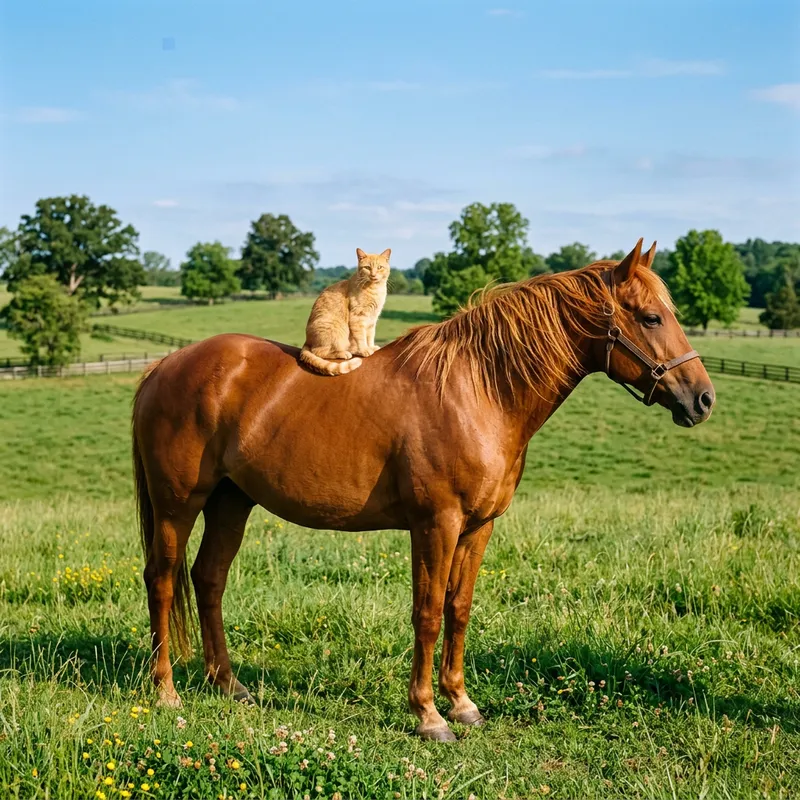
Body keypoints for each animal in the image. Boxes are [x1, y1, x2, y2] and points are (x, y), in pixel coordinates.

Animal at [132, 239, 715, 741]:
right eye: (651, 317)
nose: (703, 399)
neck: (479, 390)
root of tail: (165, 365)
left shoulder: (478, 527)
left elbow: (459, 609)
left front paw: (462, 705)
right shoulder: (437, 524)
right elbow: (428, 613)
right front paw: (429, 716)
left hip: (232, 501)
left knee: (208, 580)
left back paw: (229, 685)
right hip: (178, 505)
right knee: (162, 580)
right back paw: (166, 692)